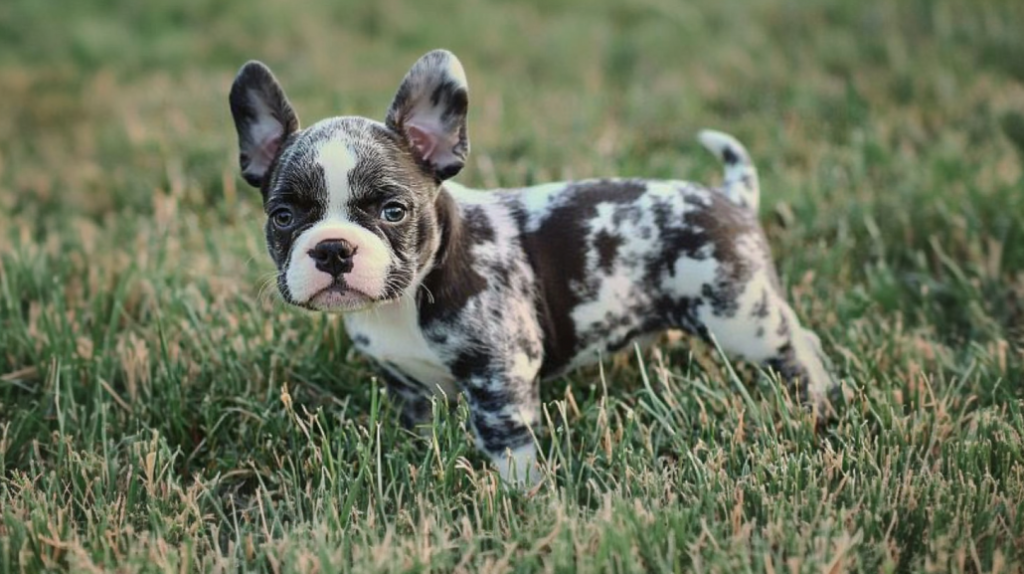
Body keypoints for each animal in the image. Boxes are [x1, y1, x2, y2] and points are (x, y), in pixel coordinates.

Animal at [228, 51, 835, 484]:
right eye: (283, 216)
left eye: (392, 211)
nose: (333, 249)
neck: (409, 297)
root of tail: (730, 199)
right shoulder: (409, 388)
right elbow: (421, 432)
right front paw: (420, 464)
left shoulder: (501, 377)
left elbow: (508, 447)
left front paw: (524, 499)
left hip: (738, 315)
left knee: (797, 343)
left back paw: (819, 401)